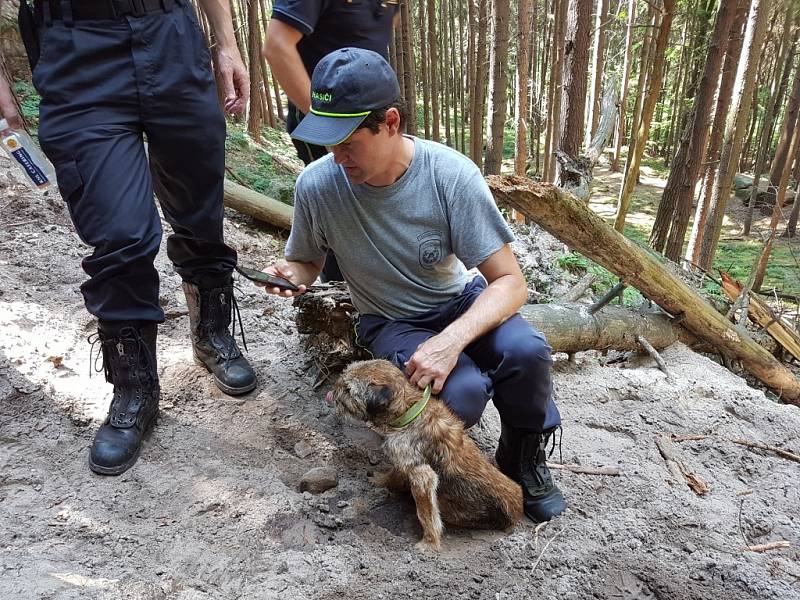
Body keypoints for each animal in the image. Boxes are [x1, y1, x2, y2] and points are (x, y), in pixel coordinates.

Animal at [324, 358, 524, 552]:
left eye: (348, 389)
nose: (332, 390)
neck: (408, 411)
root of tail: (518, 512)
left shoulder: (422, 477)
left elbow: (426, 513)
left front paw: (429, 543)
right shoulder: (405, 461)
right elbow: (394, 473)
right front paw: (381, 480)